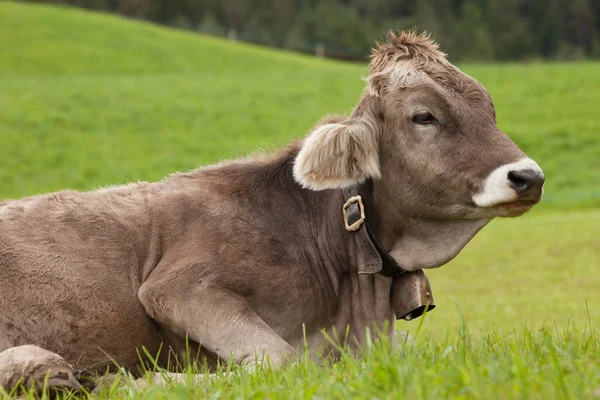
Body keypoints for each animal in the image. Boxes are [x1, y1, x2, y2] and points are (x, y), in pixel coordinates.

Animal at [0, 31, 544, 394]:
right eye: (424, 116)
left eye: (490, 110)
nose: (529, 176)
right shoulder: (177, 285)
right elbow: (287, 362)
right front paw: (144, 382)